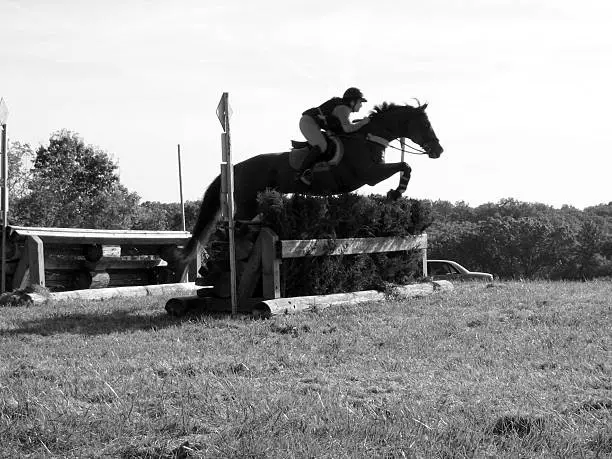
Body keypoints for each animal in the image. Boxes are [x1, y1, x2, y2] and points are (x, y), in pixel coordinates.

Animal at [177, 102, 440, 264]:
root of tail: (235, 167)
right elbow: (405, 165)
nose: (439, 150)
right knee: (231, 229)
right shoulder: (370, 175)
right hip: (247, 203)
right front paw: (396, 193)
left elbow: (405, 166)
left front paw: (397, 192)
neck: (367, 138)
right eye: (426, 124)